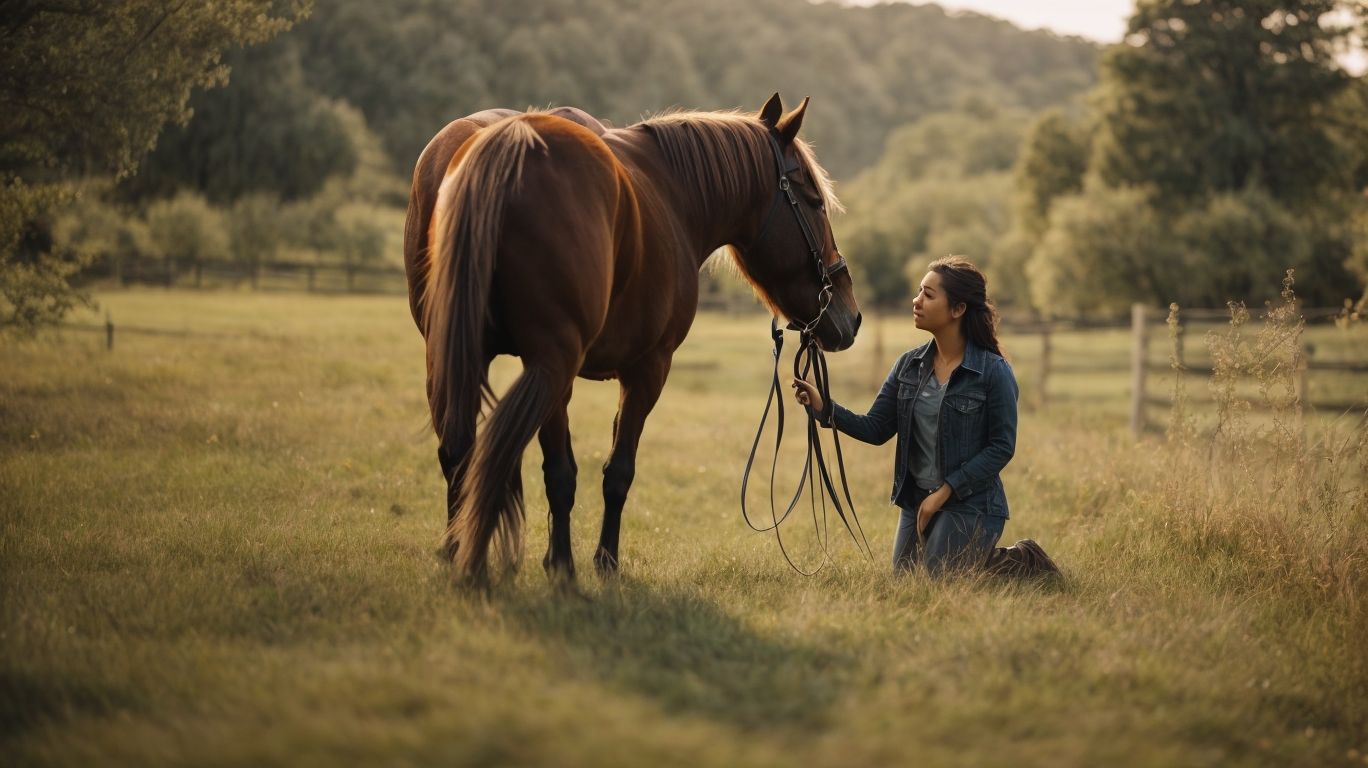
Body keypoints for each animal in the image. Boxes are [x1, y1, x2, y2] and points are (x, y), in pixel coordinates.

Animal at [403, 94, 861, 584]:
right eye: (815, 202)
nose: (850, 315)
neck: (674, 193)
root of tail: (509, 140)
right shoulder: (647, 369)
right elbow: (616, 471)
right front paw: (602, 562)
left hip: (457, 357)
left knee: (459, 452)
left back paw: (457, 550)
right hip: (550, 365)